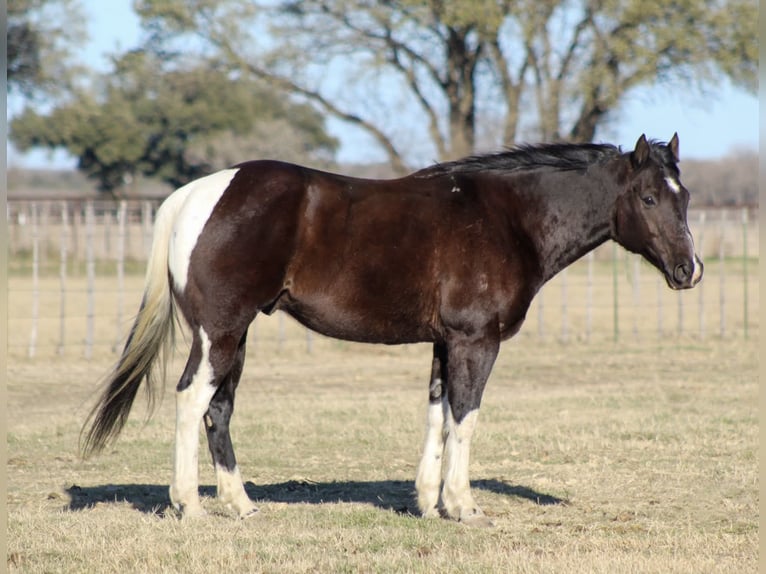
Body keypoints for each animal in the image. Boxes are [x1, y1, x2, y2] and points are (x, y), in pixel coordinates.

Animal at [82, 134, 704, 528]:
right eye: (650, 197)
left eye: (686, 197)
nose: (689, 270)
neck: (507, 217)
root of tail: (200, 193)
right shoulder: (476, 341)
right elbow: (465, 418)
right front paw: (464, 506)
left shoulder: (444, 343)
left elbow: (437, 415)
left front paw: (429, 503)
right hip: (221, 333)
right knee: (192, 402)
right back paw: (190, 505)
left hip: (235, 338)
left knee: (219, 409)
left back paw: (241, 504)